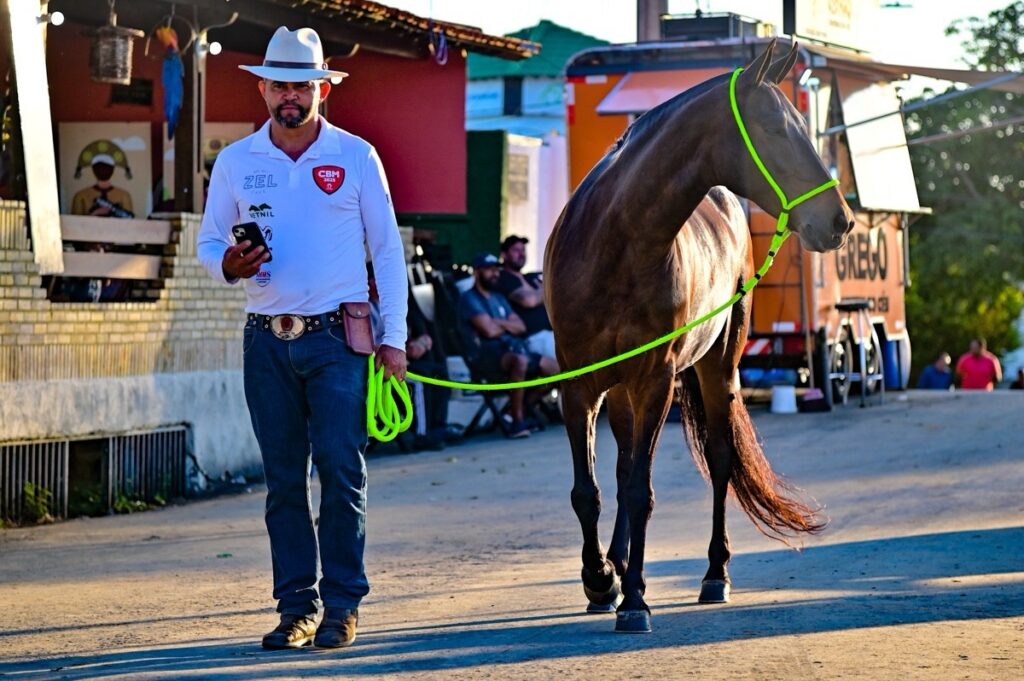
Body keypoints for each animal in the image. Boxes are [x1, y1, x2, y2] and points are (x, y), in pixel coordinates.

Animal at [543, 40, 855, 633]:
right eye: (776, 128)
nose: (840, 221)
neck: (614, 244)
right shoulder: (579, 386)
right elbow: (588, 491)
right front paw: (601, 579)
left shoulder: (655, 381)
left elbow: (639, 491)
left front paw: (634, 599)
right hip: (622, 392)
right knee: (623, 465)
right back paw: (618, 566)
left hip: (717, 369)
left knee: (719, 458)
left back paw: (714, 573)